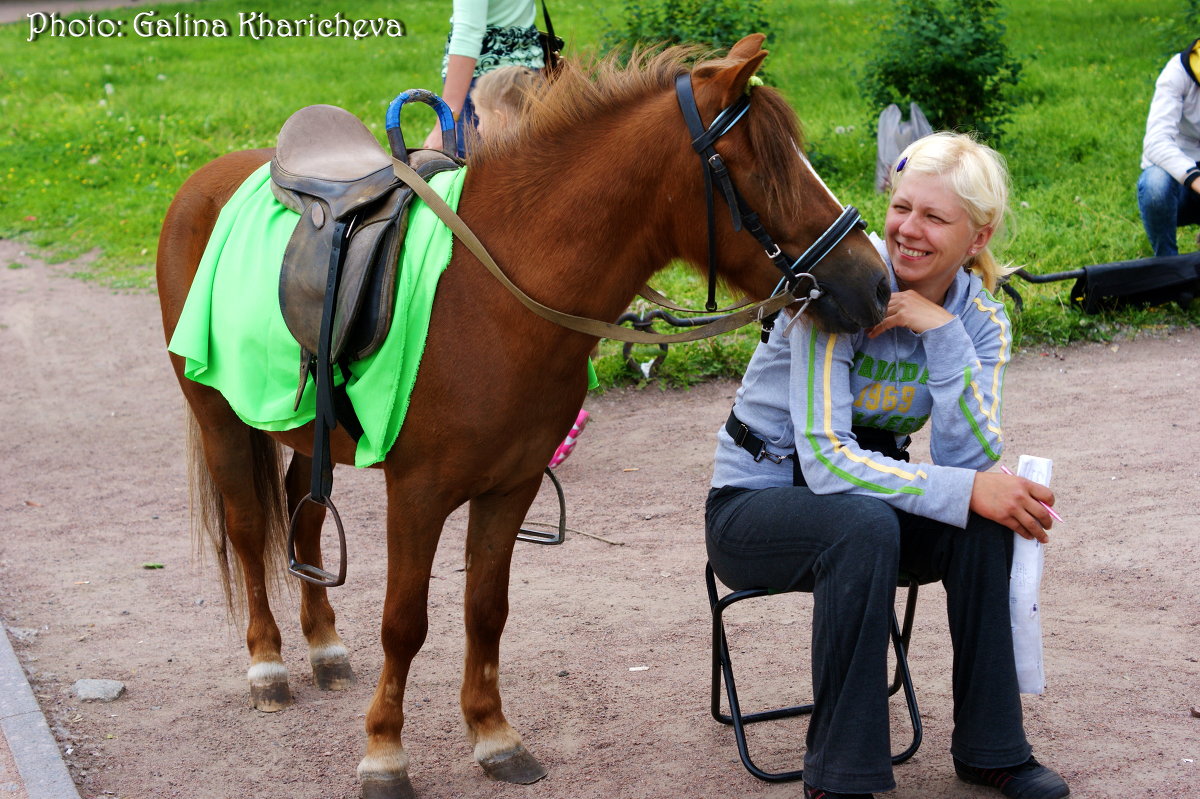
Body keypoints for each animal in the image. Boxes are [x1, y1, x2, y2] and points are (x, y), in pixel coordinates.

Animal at [157, 34, 892, 796]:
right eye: (765, 172)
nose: (878, 282)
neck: (494, 293)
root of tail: (206, 178)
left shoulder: (512, 486)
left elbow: (487, 610)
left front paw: (493, 735)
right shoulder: (416, 494)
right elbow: (404, 622)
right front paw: (385, 751)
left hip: (310, 433)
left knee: (301, 516)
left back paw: (325, 647)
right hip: (219, 418)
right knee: (249, 529)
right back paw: (267, 663)